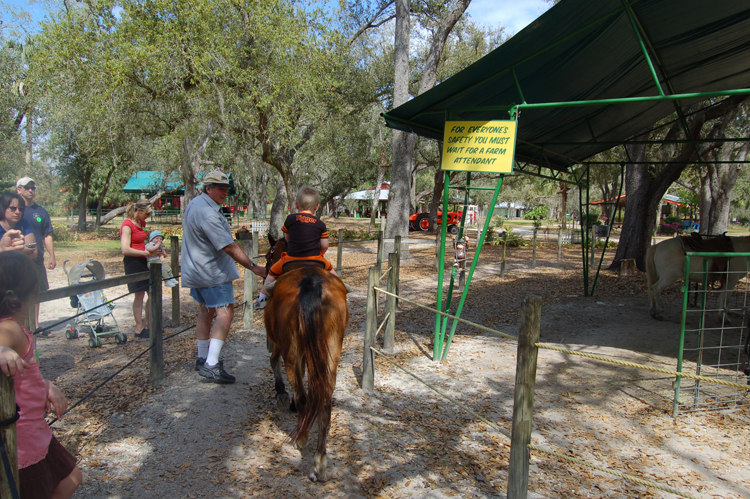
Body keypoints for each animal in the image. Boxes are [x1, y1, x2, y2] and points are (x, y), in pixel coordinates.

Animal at [264, 236, 350, 482]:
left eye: (268, 256)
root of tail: (312, 284)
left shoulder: (278, 343)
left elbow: (274, 361)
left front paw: (282, 394)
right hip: (331, 349)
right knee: (324, 401)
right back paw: (319, 463)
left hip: (291, 348)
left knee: (303, 395)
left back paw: (301, 439)